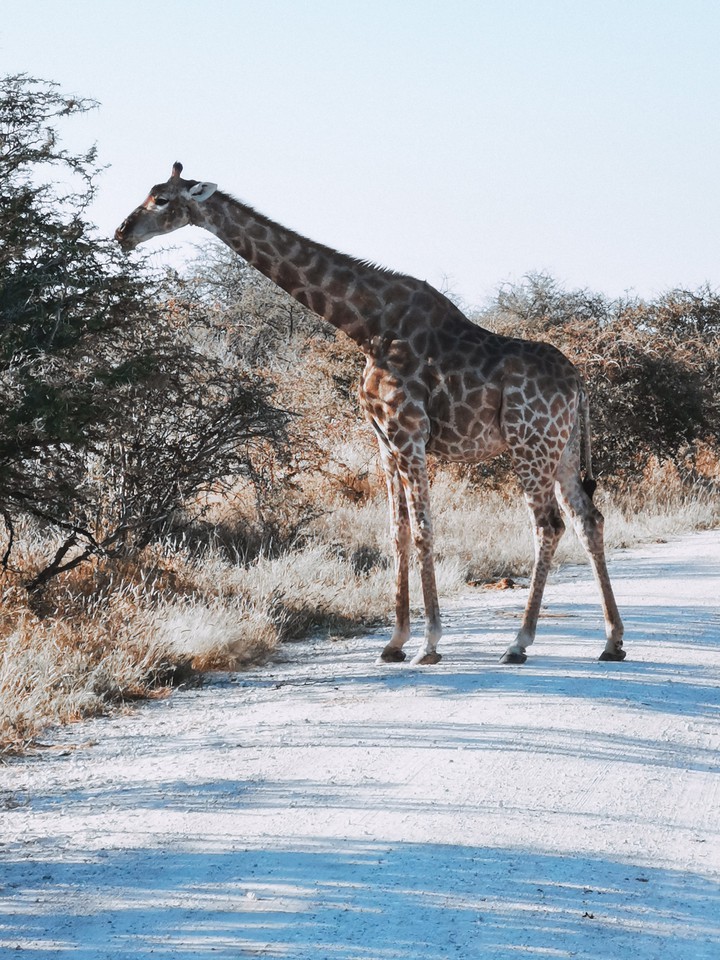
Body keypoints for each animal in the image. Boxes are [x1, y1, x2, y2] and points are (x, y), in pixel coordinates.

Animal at [115, 163, 625, 667]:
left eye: (161, 199)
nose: (122, 232)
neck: (366, 326)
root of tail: (578, 382)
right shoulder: (382, 438)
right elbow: (396, 531)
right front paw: (395, 642)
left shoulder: (409, 433)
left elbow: (422, 529)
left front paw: (429, 644)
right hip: (561, 450)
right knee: (589, 519)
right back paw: (612, 640)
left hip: (529, 443)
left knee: (549, 525)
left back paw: (519, 643)